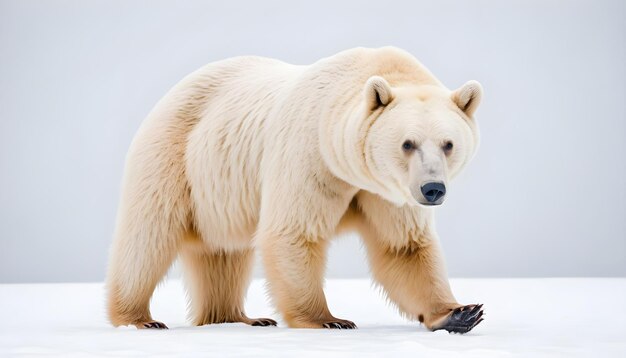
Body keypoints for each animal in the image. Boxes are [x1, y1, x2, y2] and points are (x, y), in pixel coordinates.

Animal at [106, 46, 482, 332]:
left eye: (448, 144)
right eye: (408, 143)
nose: (433, 189)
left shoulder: (386, 191)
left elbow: (403, 247)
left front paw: (460, 313)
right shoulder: (310, 155)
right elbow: (295, 231)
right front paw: (328, 320)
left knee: (224, 253)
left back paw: (241, 317)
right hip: (175, 157)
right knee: (148, 238)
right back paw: (139, 318)